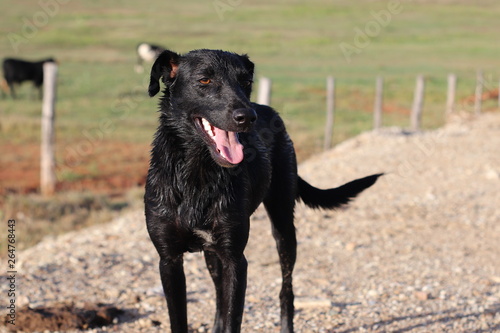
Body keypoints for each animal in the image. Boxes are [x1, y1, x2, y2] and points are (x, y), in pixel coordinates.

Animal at [146, 48, 382, 330]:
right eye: (204, 80)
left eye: (246, 81)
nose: (247, 117)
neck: (197, 172)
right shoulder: (169, 260)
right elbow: (182, 319)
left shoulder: (236, 259)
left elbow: (233, 319)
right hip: (214, 252)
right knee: (219, 294)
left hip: (283, 225)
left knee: (286, 291)